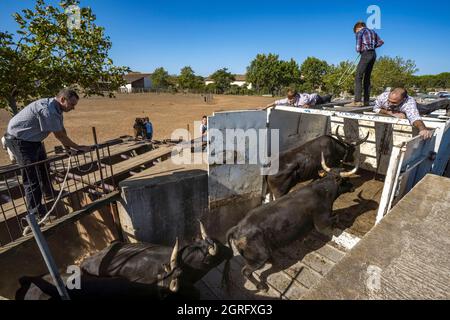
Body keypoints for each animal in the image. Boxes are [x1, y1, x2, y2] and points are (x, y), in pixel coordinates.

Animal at [229, 154, 358, 292]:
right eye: (346, 179)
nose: (353, 186)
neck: (323, 190)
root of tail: (237, 228)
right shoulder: (321, 222)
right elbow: (335, 218)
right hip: (258, 257)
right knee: (246, 271)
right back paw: (262, 286)